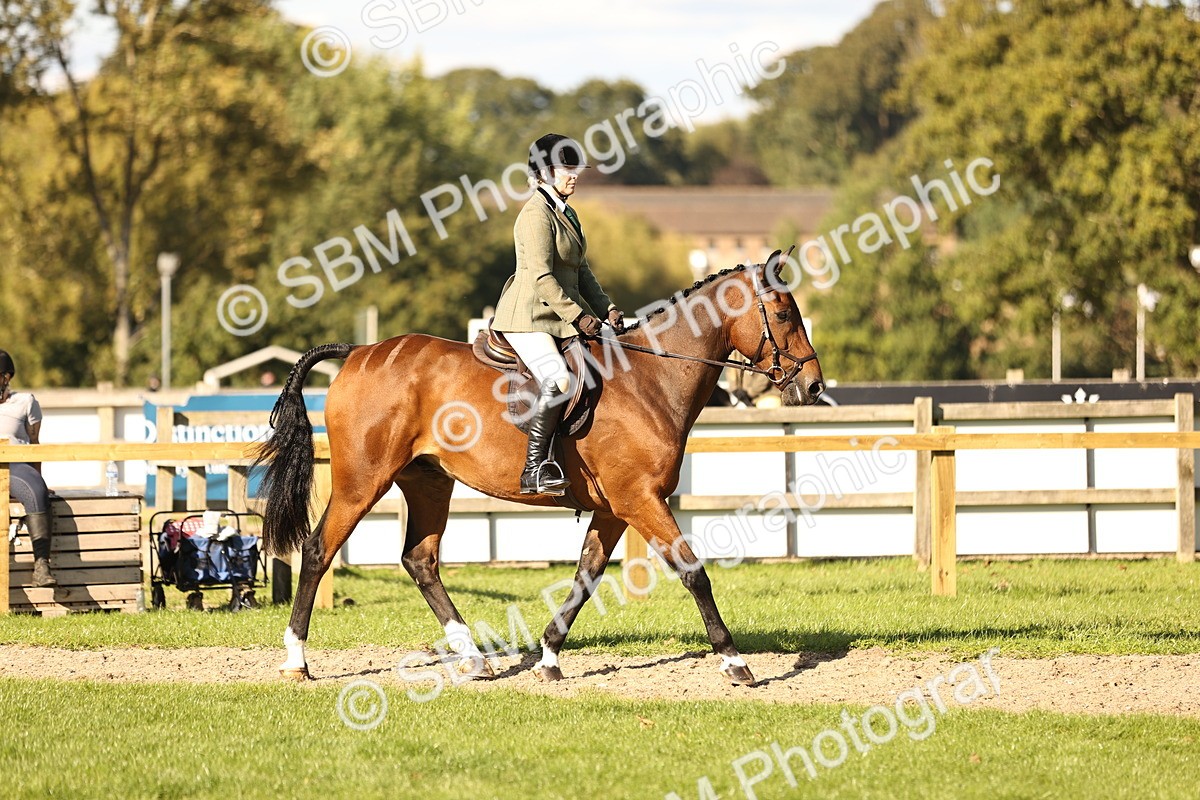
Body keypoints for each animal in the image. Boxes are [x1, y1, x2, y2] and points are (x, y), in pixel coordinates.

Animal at [254, 249, 824, 687]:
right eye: (786, 315)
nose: (814, 386)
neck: (650, 378)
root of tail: (360, 351)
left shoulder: (615, 508)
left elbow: (585, 578)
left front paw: (548, 658)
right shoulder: (640, 499)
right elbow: (693, 573)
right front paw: (735, 661)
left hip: (428, 482)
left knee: (420, 560)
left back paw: (474, 658)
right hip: (362, 481)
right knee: (318, 551)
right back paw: (296, 660)